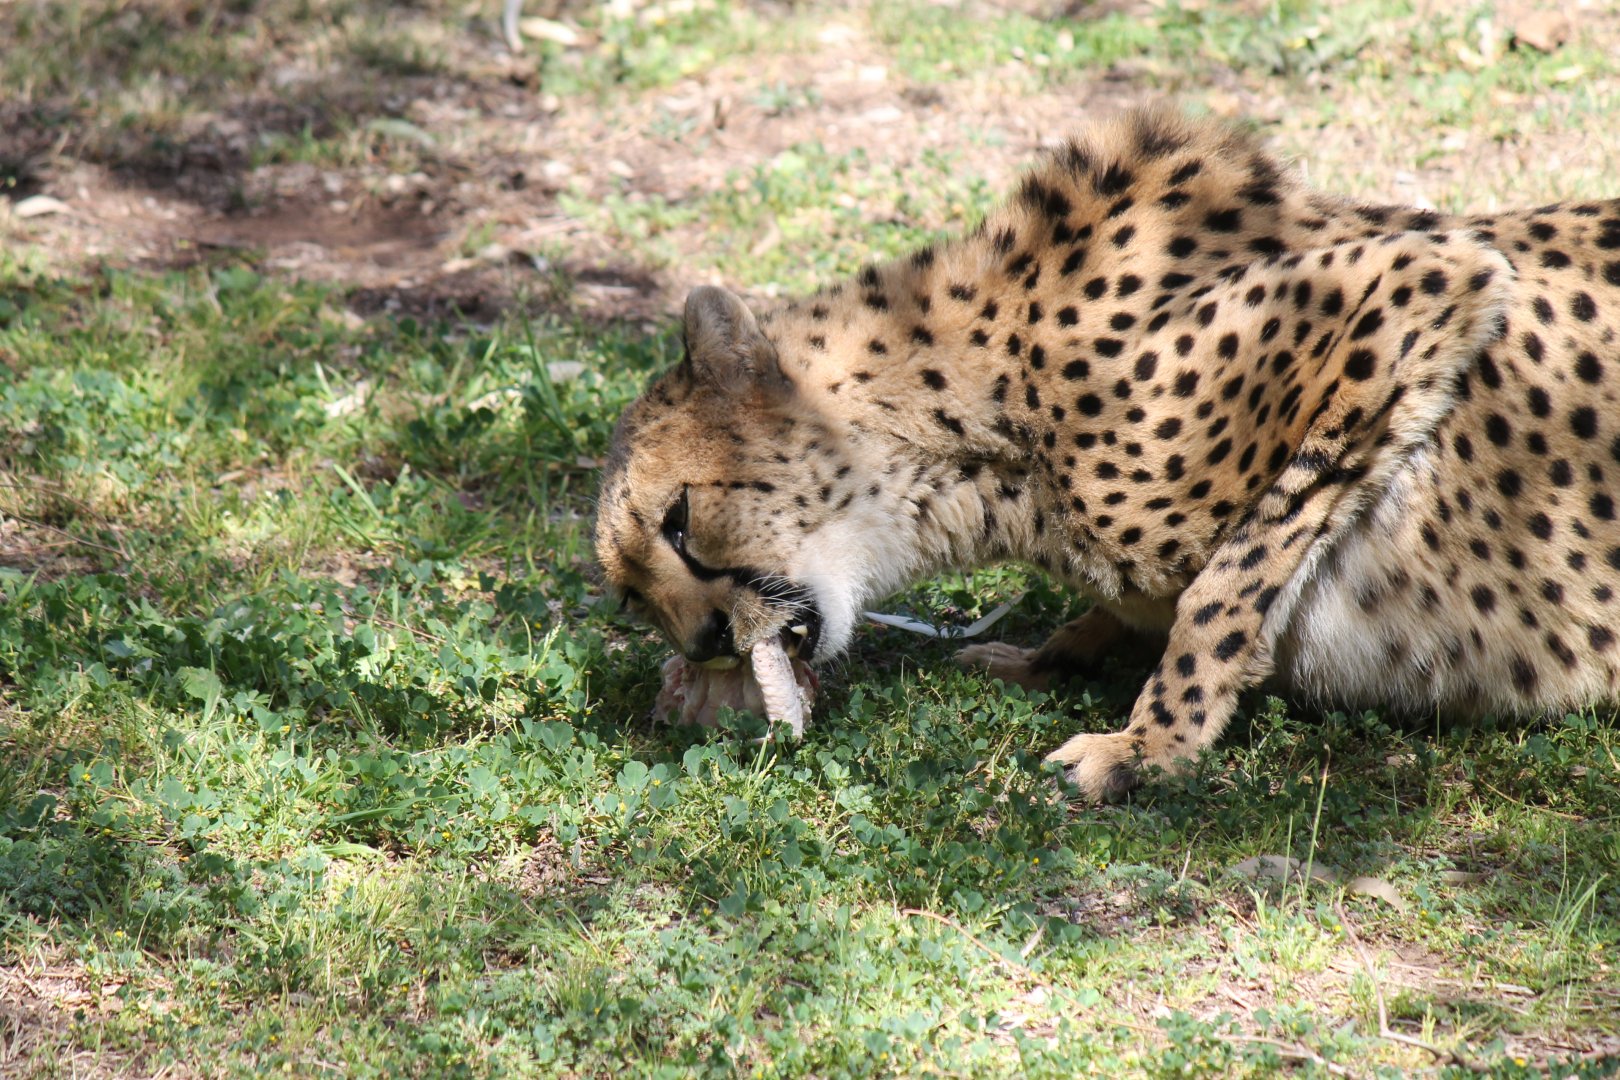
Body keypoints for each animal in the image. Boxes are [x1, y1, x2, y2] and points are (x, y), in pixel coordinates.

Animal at [595, 106, 1620, 802]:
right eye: (633, 596)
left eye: (679, 520)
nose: (705, 640)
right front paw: (1052, 656)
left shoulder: (1420, 286)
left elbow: (1223, 585)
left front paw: (1149, 746)